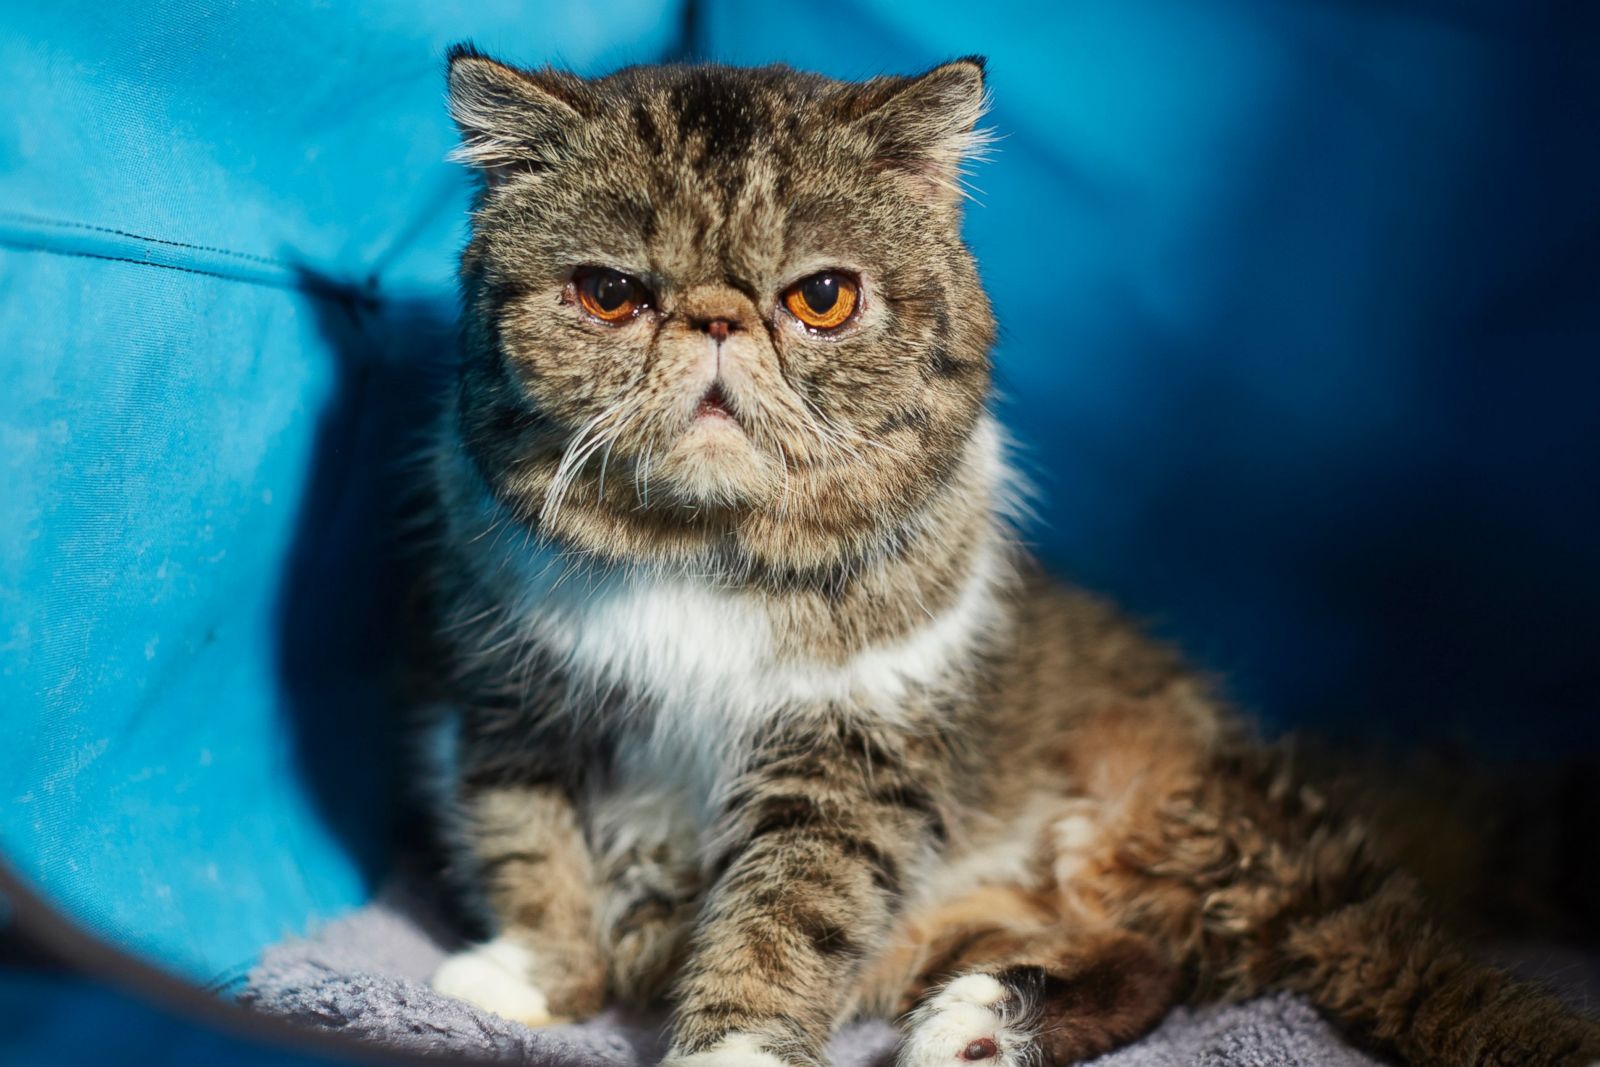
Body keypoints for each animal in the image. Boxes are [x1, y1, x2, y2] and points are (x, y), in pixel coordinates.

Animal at [416, 43, 1600, 1067]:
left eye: (821, 297)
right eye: (610, 293)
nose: (714, 320)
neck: (700, 549)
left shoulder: (852, 750)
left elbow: (782, 917)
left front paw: (732, 1051)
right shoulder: (518, 701)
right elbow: (531, 849)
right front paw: (533, 976)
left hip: (1215, 841)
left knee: (1377, 952)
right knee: (1143, 953)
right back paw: (982, 1024)